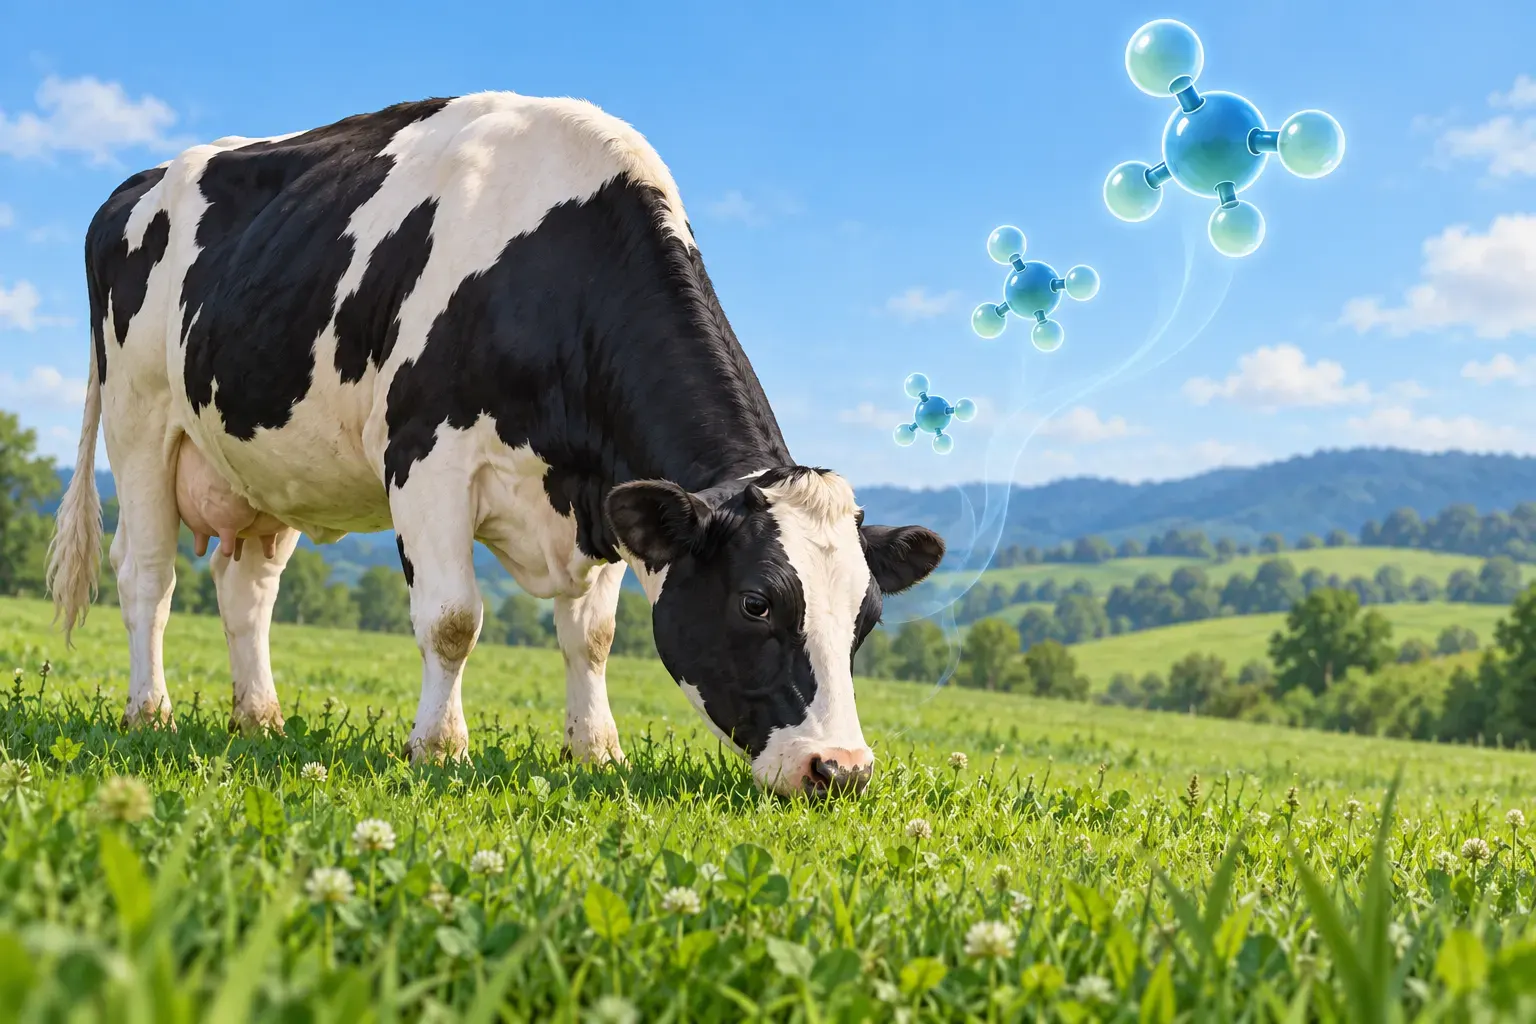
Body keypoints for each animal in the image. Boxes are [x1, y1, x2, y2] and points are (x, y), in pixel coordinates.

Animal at [45, 93, 945, 798]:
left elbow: (592, 636)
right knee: (148, 576)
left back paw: (259, 719)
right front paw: (439, 748)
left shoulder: (606, 492)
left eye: (866, 618)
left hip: (264, 466)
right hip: (139, 420)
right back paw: (150, 712)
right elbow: (452, 620)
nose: (841, 769)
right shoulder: (427, 459)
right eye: (756, 602)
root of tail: (136, 183)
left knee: (248, 591)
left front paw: (597, 752)